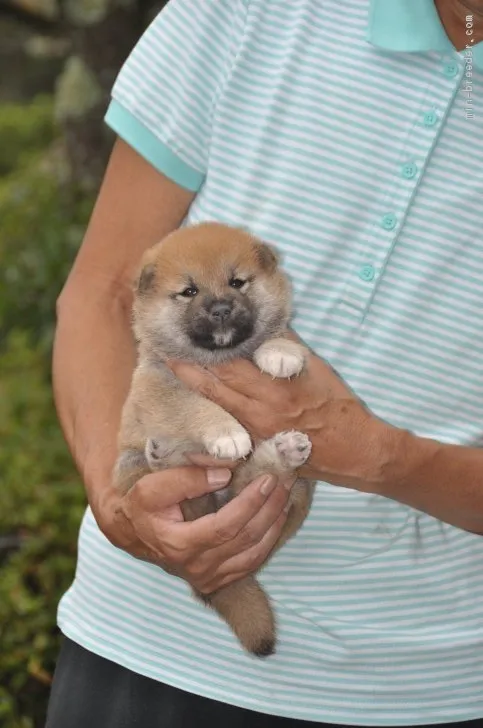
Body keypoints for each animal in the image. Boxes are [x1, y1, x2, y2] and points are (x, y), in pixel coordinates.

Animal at [114, 223, 318, 660]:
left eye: (237, 282)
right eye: (189, 291)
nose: (222, 309)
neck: (218, 360)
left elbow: (275, 337)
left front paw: (280, 353)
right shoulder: (159, 384)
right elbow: (197, 407)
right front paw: (227, 433)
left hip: (293, 491)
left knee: (254, 482)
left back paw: (283, 452)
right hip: (131, 471)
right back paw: (166, 455)